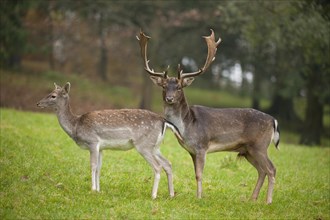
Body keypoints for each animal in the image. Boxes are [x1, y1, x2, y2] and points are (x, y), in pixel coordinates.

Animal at [38, 81, 183, 199]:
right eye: (50, 93)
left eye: (53, 96)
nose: (38, 103)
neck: (76, 126)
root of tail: (164, 121)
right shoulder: (101, 147)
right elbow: (99, 167)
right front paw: (98, 190)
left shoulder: (92, 141)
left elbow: (93, 165)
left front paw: (92, 189)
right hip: (155, 146)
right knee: (167, 163)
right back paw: (171, 194)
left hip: (144, 145)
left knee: (157, 167)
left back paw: (153, 195)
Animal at [137, 29, 278, 205]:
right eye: (163, 86)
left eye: (179, 87)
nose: (169, 98)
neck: (187, 126)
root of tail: (273, 121)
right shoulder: (191, 151)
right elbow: (195, 173)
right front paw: (197, 195)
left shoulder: (202, 146)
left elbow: (199, 174)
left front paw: (199, 197)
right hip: (248, 150)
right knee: (262, 170)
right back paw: (252, 199)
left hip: (260, 145)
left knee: (271, 169)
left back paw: (268, 201)